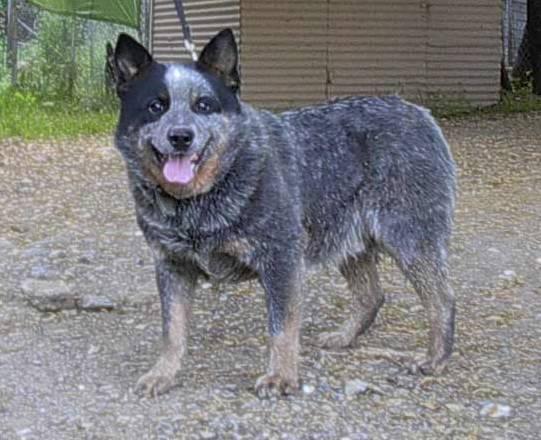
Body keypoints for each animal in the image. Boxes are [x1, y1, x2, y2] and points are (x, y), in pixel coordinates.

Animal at [108, 28, 456, 398]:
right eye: (155, 106)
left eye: (203, 104)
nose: (180, 136)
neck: (197, 204)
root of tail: (418, 112)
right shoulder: (171, 265)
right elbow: (172, 330)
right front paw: (163, 373)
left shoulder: (281, 259)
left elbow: (281, 327)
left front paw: (281, 376)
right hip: (347, 238)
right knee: (372, 296)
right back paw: (345, 336)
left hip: (409, 239)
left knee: (442, 300)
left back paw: (435, 359)